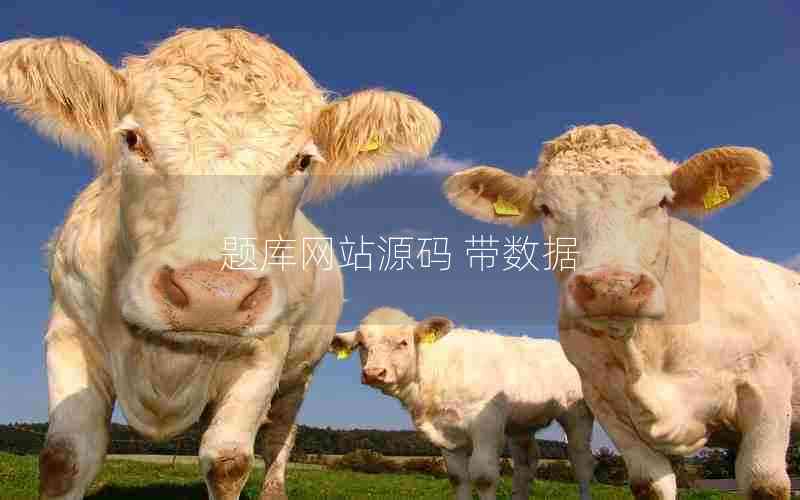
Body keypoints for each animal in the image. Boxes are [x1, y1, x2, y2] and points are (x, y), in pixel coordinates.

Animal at [0, 28, 440, 500]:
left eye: (302, 161)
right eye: (133, 140)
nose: (213, 295)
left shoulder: (265, 354)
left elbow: (228, 461)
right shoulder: (69, 332)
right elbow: (65, 456)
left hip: (297, 377)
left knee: (279, 438)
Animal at [330, 307, 596, 500]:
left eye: (403, 342)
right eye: (362, 345)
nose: (373, 373)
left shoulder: (487, 424)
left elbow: (483, 477)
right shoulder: (447, 434)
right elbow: (458, 478)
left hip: (577, 413)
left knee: (581, 462)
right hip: (521, 424)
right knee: (526, 463)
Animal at [442, 124, 800, 499]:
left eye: (662, 201)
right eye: (546, 208)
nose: (611, 286)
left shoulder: (767, 386)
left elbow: (763, 482)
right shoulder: (608, 405)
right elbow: (650, 484)